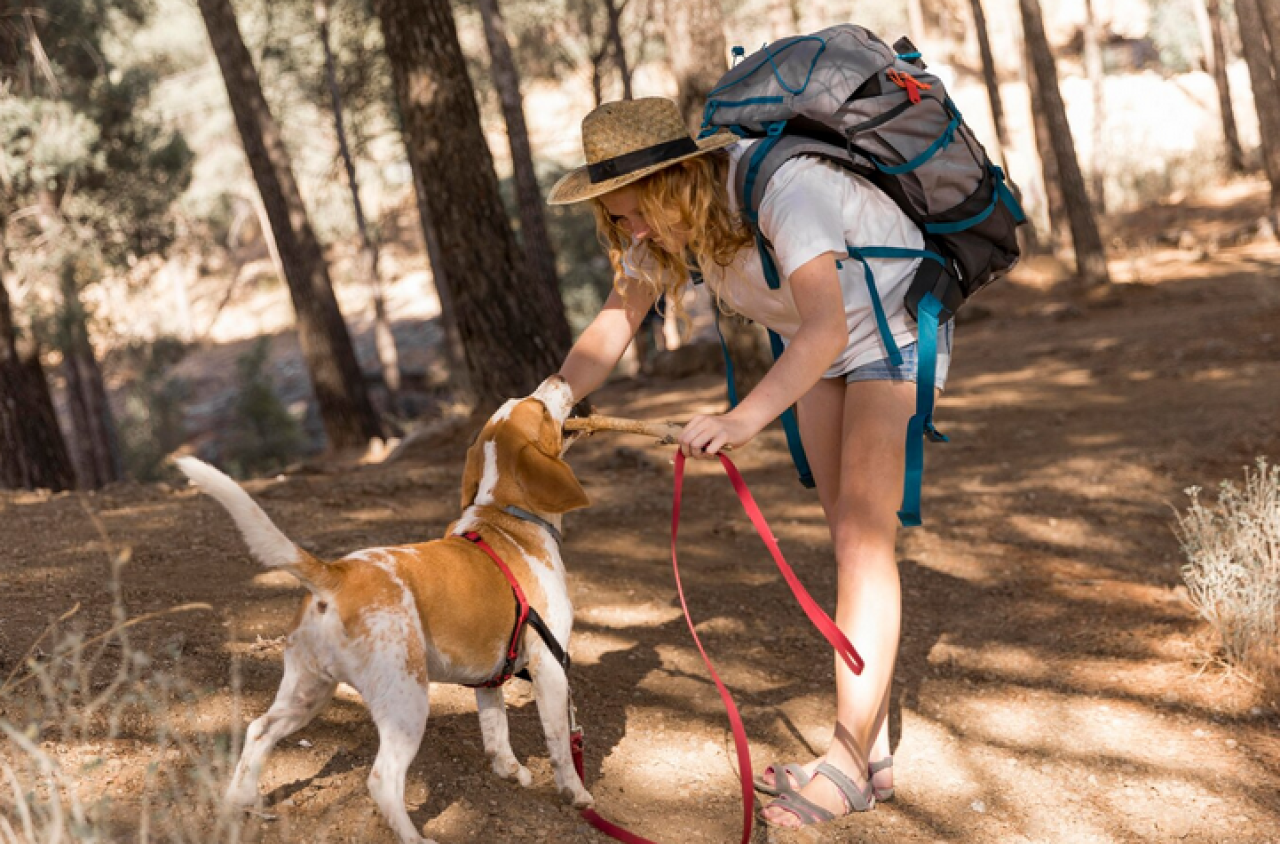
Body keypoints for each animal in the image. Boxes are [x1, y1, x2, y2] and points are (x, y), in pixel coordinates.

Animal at [176, 379, 593, 844]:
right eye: (539, 406)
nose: (559, 377)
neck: (505, 514)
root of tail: (336, 573)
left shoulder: (488, 676)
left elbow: (495, 729)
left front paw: (509, 770)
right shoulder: (550, 665)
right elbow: (561, 743)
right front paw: (576, 794)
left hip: (307, 693)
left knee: (258, 730)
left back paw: (241, 801)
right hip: (406, 702)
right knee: (381, 779)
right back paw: (414, 837)